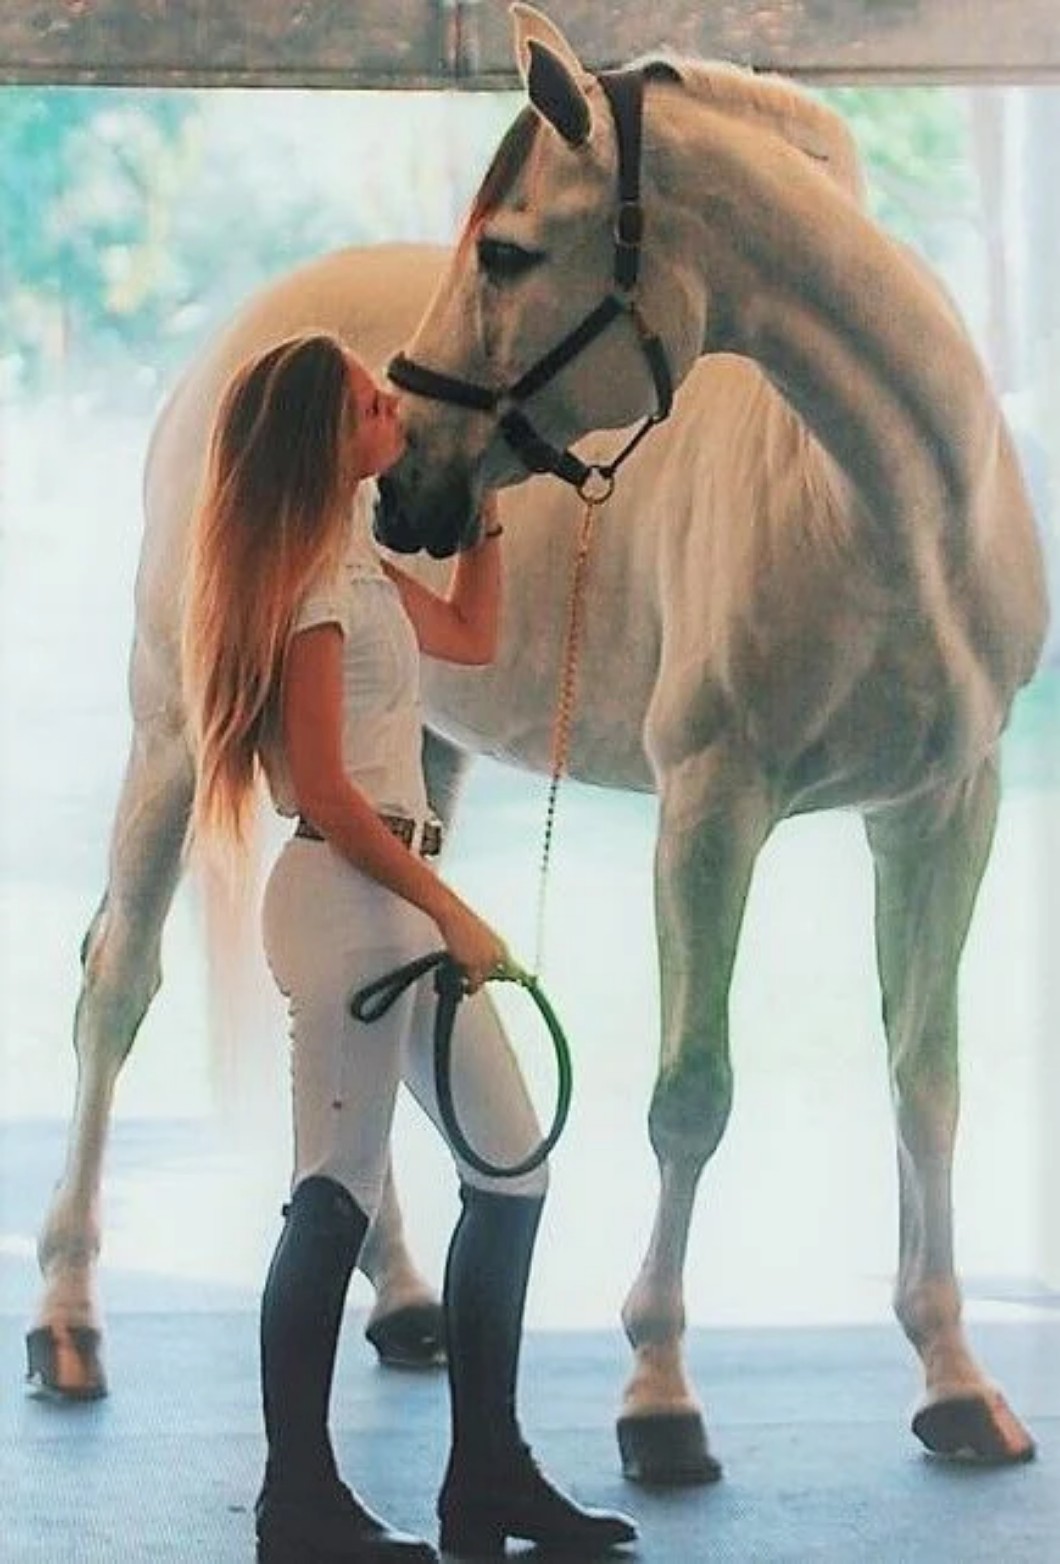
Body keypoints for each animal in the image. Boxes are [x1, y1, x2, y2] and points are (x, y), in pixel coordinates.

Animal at [26, 0, 1046, 1489]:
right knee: (116, 989)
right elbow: (692, 1094)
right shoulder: (712, 804)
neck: (889, 510)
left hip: (413, 758)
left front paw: (956, 1380)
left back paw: (402, 1301)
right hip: (170, 731)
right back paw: (67, 1322)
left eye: (506, 251)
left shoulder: (941, 811)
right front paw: (660, 1397)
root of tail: (263, 338)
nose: (407, 484)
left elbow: (927, 1081)